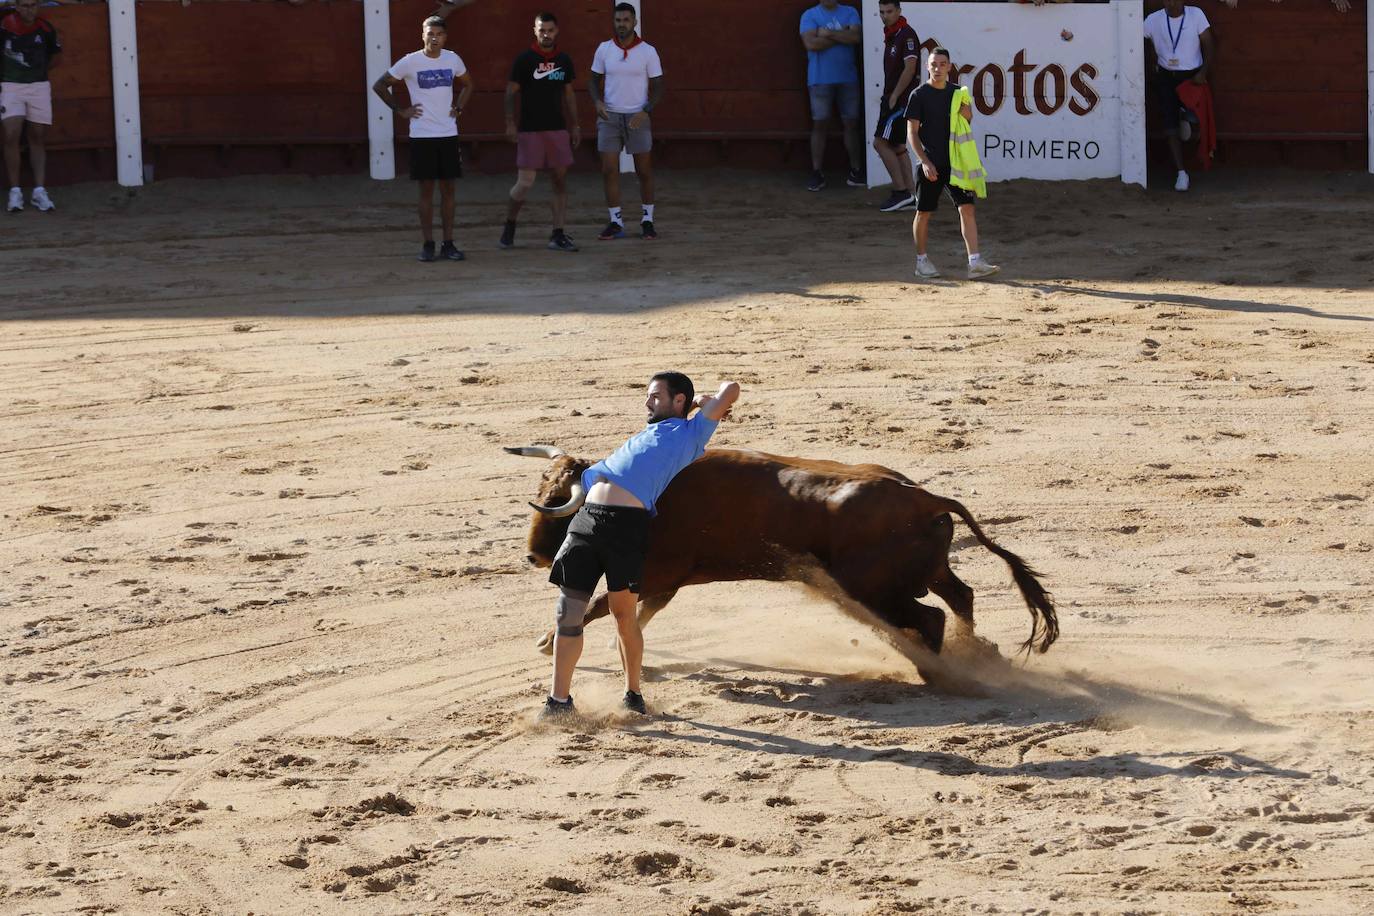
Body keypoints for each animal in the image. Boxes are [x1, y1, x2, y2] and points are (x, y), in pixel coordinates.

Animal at [505, 444, 1049, 681]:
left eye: (559, 502)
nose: (533, 555)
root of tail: (925, 496)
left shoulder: (658, 571)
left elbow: (601, 605)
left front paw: (547, 641)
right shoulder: (664, 581)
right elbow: (637, 614)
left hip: (874, 589)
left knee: (929, 618)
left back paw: (937, 673)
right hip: (925, 572)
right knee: (960, 597)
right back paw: (973, 655)